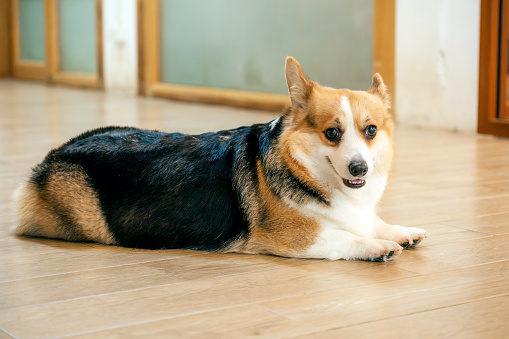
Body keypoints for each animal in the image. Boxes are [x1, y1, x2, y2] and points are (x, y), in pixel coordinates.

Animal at [13, 57, 424, 262]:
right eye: (332, 133)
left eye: (370, 130)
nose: (360, 168)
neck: (307, 172)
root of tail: (52, 155)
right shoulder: (293, 238)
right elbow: (345, 237)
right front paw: (376, 247)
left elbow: (373, 222)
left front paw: (400, 232)